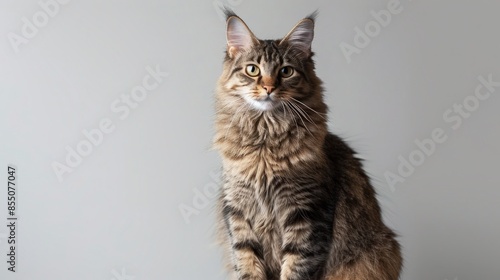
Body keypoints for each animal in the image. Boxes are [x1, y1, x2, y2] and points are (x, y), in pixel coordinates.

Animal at [213, 10, 404, 280]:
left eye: (286, 71)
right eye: (252, 70)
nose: (269, 87)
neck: (264, 143)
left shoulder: (307, 212)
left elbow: (295, 268)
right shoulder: (238, 211)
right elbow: (247, 263)